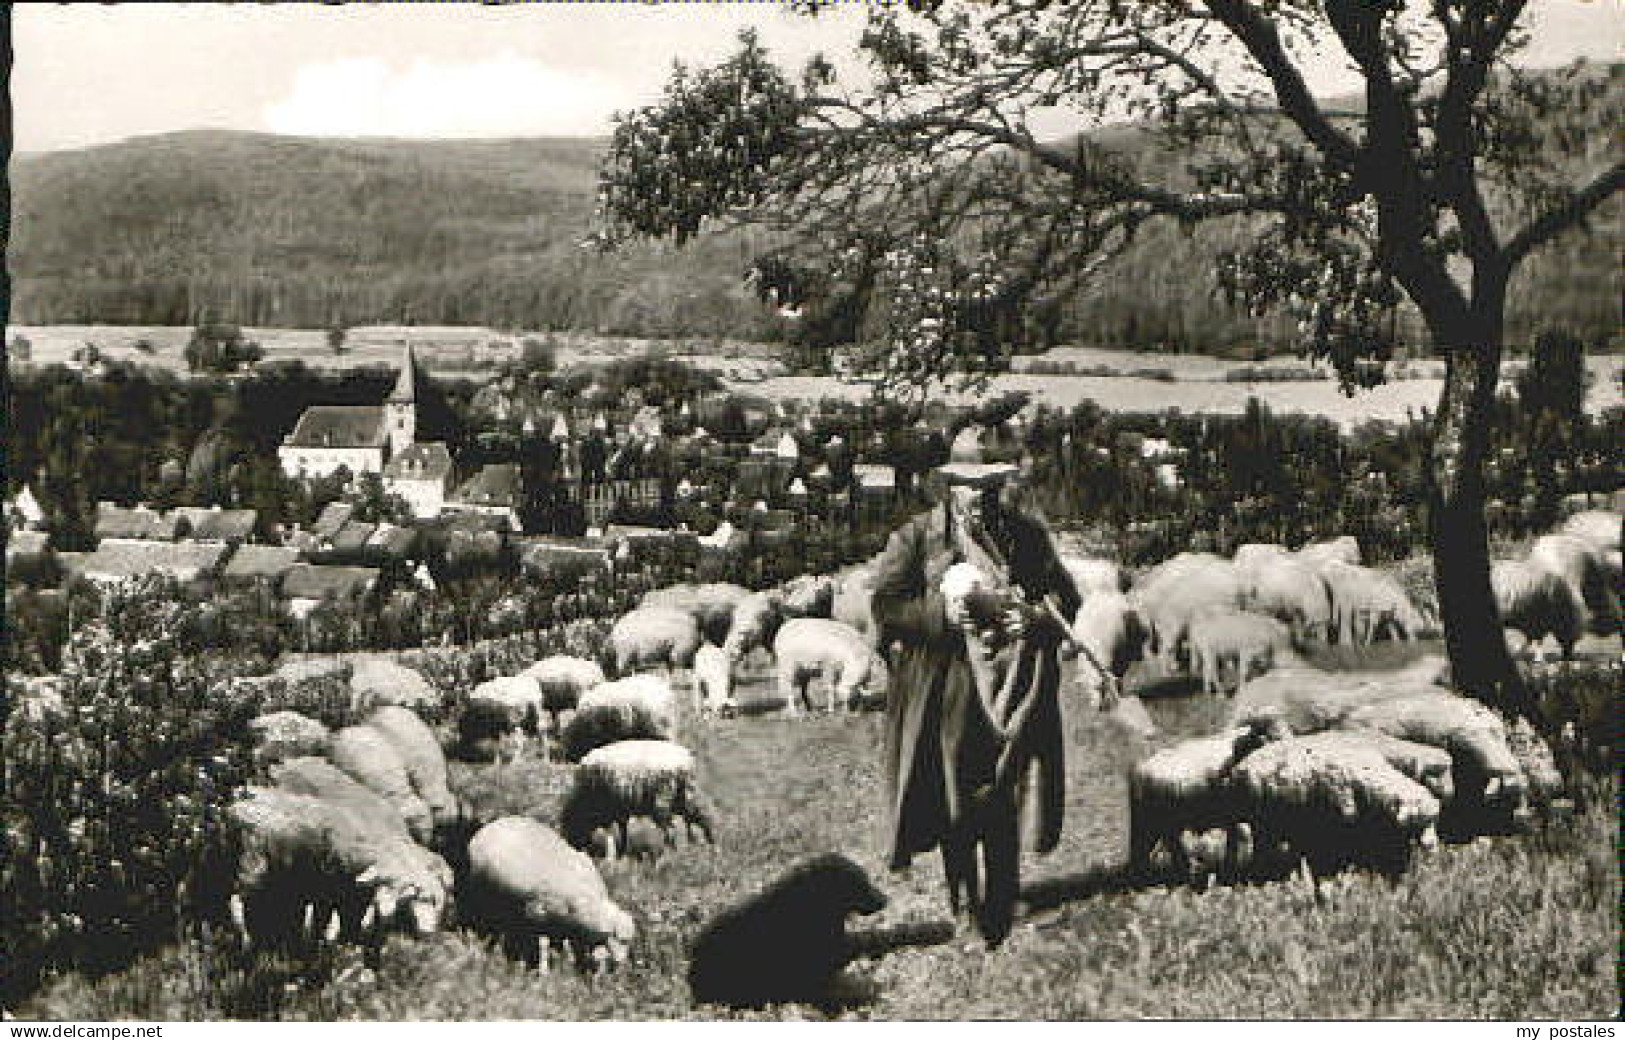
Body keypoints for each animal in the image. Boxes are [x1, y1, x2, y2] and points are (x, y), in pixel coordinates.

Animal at [464, 815, 633, 968]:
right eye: (621, 939)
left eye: (627, 941)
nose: (621, 962)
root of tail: (492, 824)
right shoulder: (537, 915)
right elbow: (543, 943)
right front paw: (543, 969)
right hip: (482, 889)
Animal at [562, 741, 715, 858]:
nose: (577, 848)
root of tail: (685, 762)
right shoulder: (620, 810)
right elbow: (623, 830)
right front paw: (622, 853)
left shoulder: (607, 809)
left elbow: (611, 833)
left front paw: (612, 857)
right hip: (686, 795)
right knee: (702, 817)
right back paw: (710, 847)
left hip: (662, 799)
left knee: (671, 830)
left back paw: (670, 857)